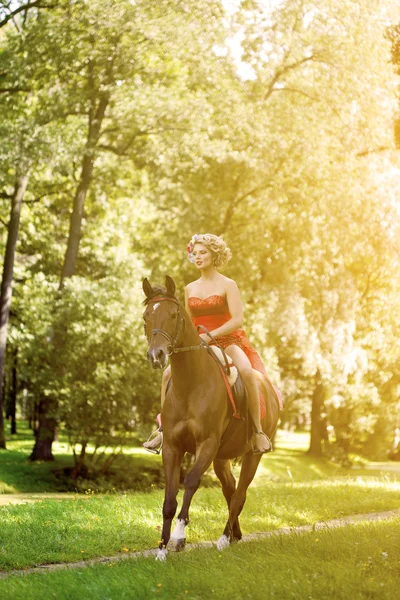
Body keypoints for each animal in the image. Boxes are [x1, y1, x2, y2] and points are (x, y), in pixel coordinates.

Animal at [142, 276, 280, 556]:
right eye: (146, 316)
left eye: (173, 314)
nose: (156, 355)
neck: (190, 383)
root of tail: (269, 387)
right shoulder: (172, 446)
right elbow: (169, 496)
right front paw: (161, 549)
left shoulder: (206, 443)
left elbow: (191, 482)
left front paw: (179, 537)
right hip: (221, 458)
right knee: (230, 489)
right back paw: (235, 534)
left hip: (252, 455)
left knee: (239, 493)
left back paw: (224, 538)